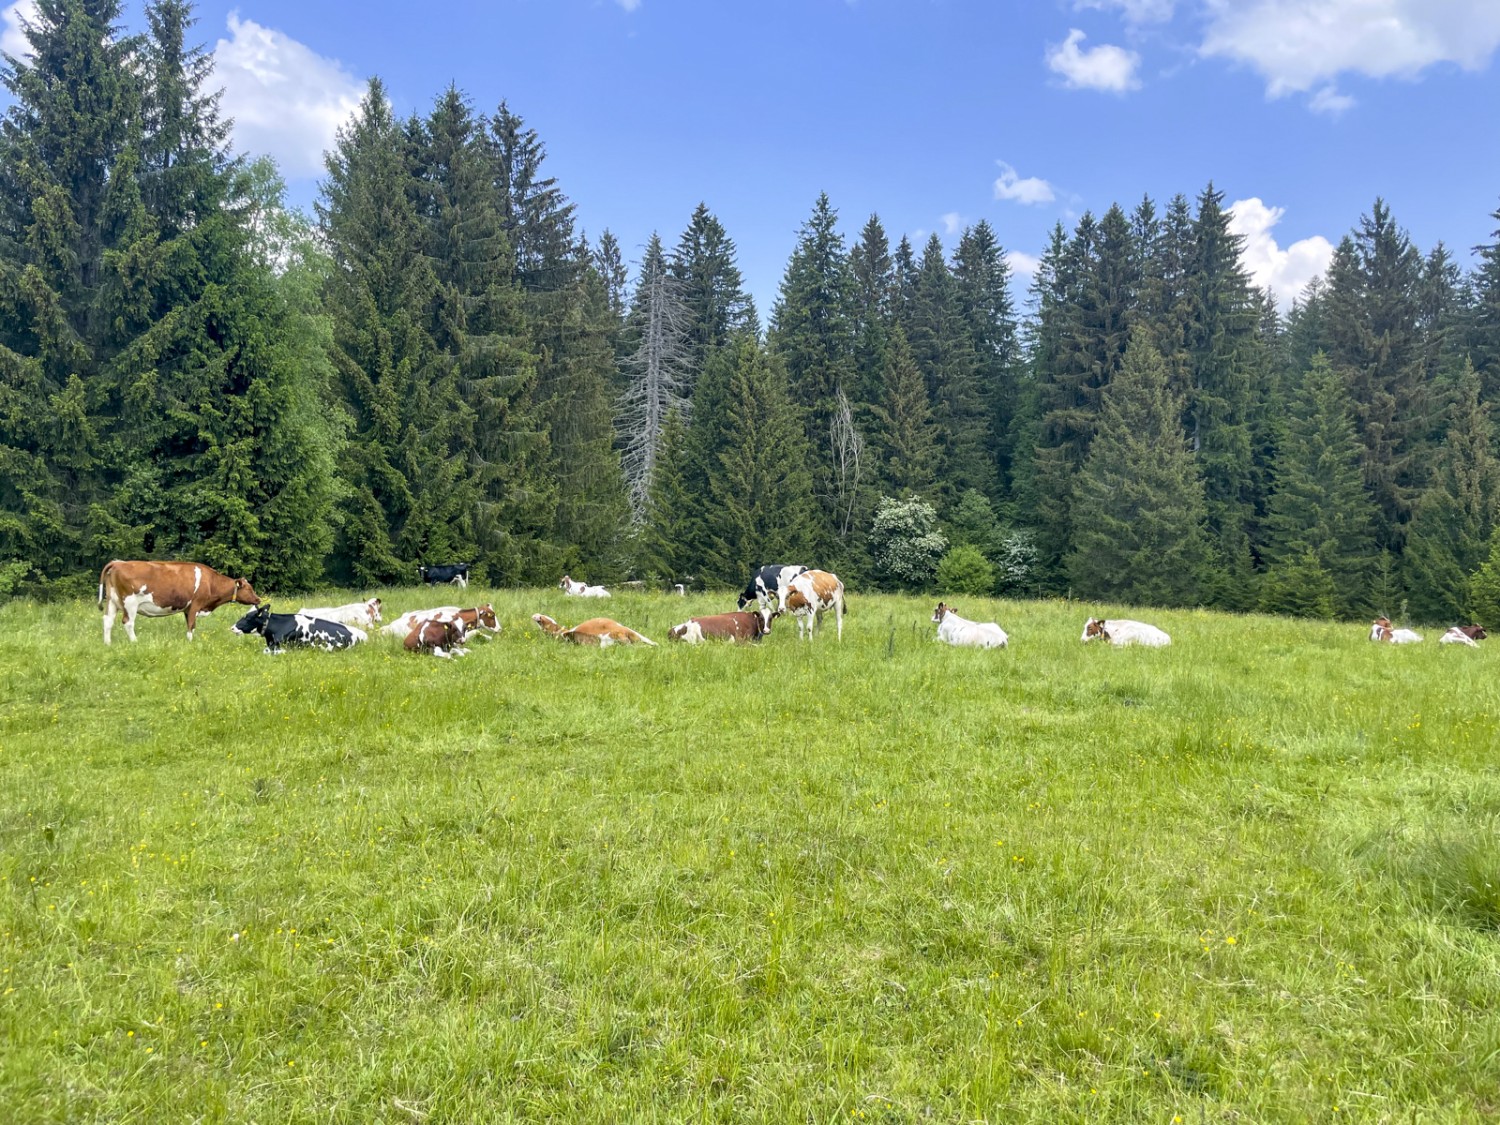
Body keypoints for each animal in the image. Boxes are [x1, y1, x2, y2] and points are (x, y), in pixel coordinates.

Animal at [97, 561, 261, 648]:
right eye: (249, 588)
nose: (258, 599)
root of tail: (118, 562)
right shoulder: (195, 604)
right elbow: (191, 625)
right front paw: (190, 642)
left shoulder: (188, 609)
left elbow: (190, 625)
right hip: (130, 603)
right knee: (128, 622)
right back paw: (134, 641)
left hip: (111, 601)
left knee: (108, 621)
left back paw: (107, 643)